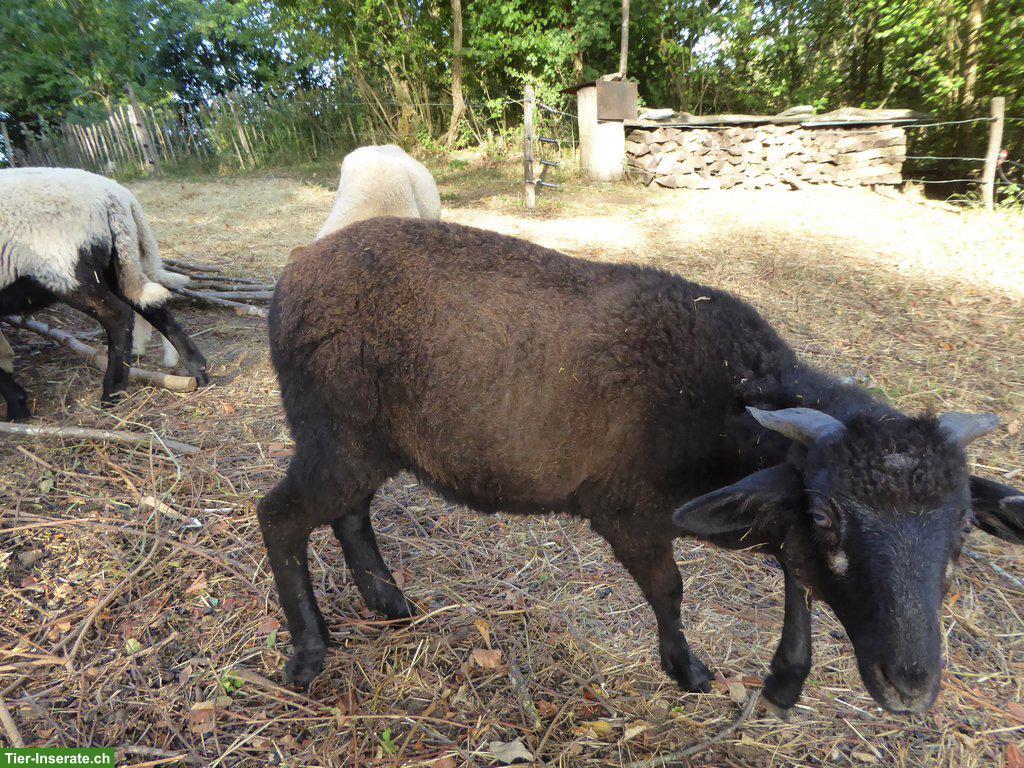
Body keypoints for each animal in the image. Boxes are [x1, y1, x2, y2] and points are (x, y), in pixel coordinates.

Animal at [0, 167, 208, 419]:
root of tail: (115, 195)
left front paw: (17, 406)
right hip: (114, 262)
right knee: (150, 305)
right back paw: (198, 371)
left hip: (68, 267)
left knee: (118, 316)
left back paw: (112, 393)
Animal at [260, 217, 1024, 718]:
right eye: (831, 518)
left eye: (963, 531)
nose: (911, 687)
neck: (732, 401)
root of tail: (295, 266)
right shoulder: (630, 515)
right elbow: (671, 590)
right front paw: (687, 670)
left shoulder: (767, 503)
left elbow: (795, 574)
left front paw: (783, 682)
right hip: (335, 432)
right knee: (281, 517)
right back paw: (308, 651)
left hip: (364, 444)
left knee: (350, 513)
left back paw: (386, 602)